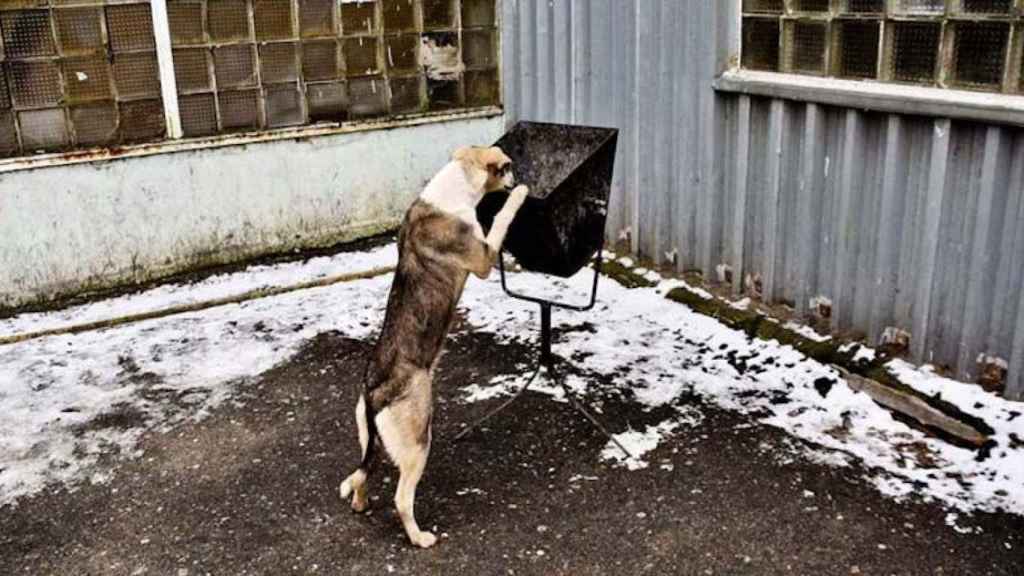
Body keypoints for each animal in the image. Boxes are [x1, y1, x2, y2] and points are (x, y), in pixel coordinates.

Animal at [339, 144, 528, 545]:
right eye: (506, 167)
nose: (516, 177)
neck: (455, 185)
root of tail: (375, 392)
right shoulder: (484, 258)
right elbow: (501, 218)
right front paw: (519, 194)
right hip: (417, 441)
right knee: (401, 498)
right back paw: (419, 537)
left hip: (370, 438)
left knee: (364, 473)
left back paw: (361, 504)